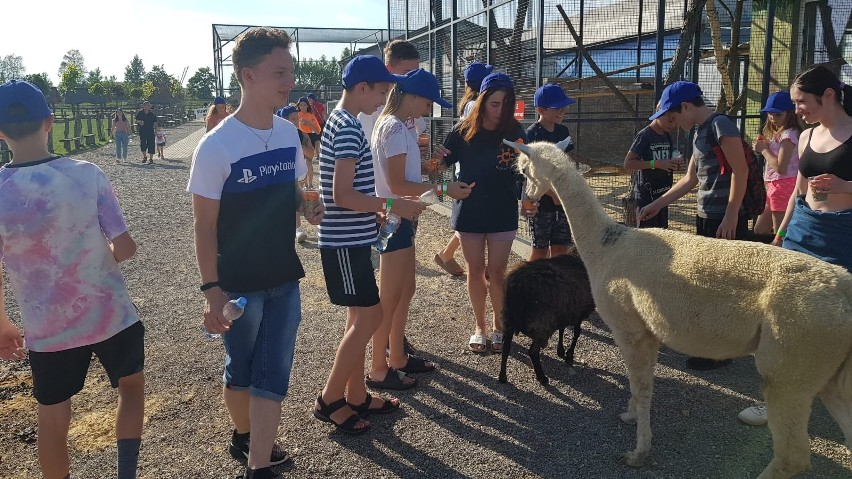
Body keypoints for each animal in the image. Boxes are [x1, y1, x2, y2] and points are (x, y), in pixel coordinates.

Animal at [496, 248, 596, 386]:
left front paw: (561, 350)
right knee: (532, 352)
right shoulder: (579, 312)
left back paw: (502, 376)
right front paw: (569, 355)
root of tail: (516, 286)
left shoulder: (563, 310)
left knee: (506, 348)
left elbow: (562, 329)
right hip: (541, 324)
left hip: (508, 319)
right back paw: (542, 377)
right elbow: (576, 333)